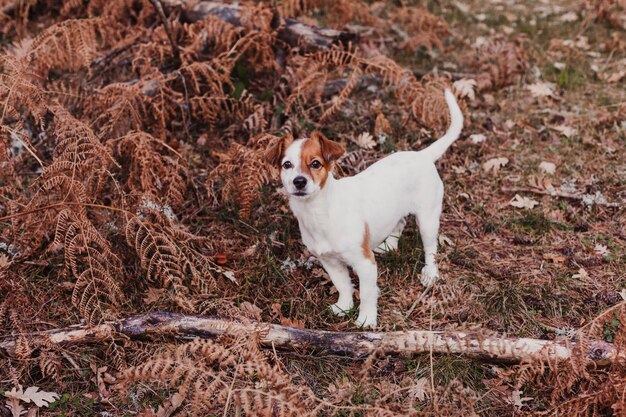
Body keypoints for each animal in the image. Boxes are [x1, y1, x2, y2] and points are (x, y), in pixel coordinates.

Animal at [266, 89, 460, 326]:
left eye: (315, 164)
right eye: (287, 165)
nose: (299, 182)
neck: (320, 212)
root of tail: (422, 155)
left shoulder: (365, 264)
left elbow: (367, 293)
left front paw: (366, 319)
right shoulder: (330, 262)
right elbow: (343, 285)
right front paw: (344, 306)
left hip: (428, 219)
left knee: (430, 247)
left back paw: (430, 273)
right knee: (400, 222)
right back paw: (389, 245)